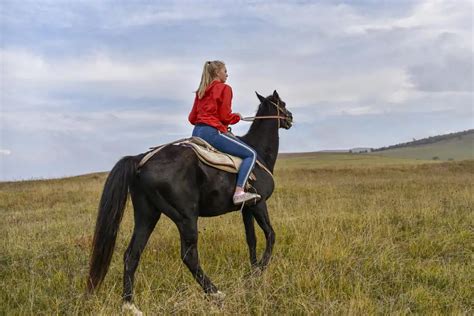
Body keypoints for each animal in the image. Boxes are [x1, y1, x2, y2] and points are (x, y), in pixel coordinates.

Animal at [86, 90, 290, 312]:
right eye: (283, 104)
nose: (290, 118)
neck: (258, 152)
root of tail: (140, 159)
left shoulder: (247, 208)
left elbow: (251, 240)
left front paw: (252, 274)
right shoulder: (260, 204)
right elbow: (271, 235)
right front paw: (260, 269)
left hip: (146, 215)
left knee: (132, 254)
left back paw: (130, 305)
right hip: (186, 218)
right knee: (189, 256)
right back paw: (216, 294)